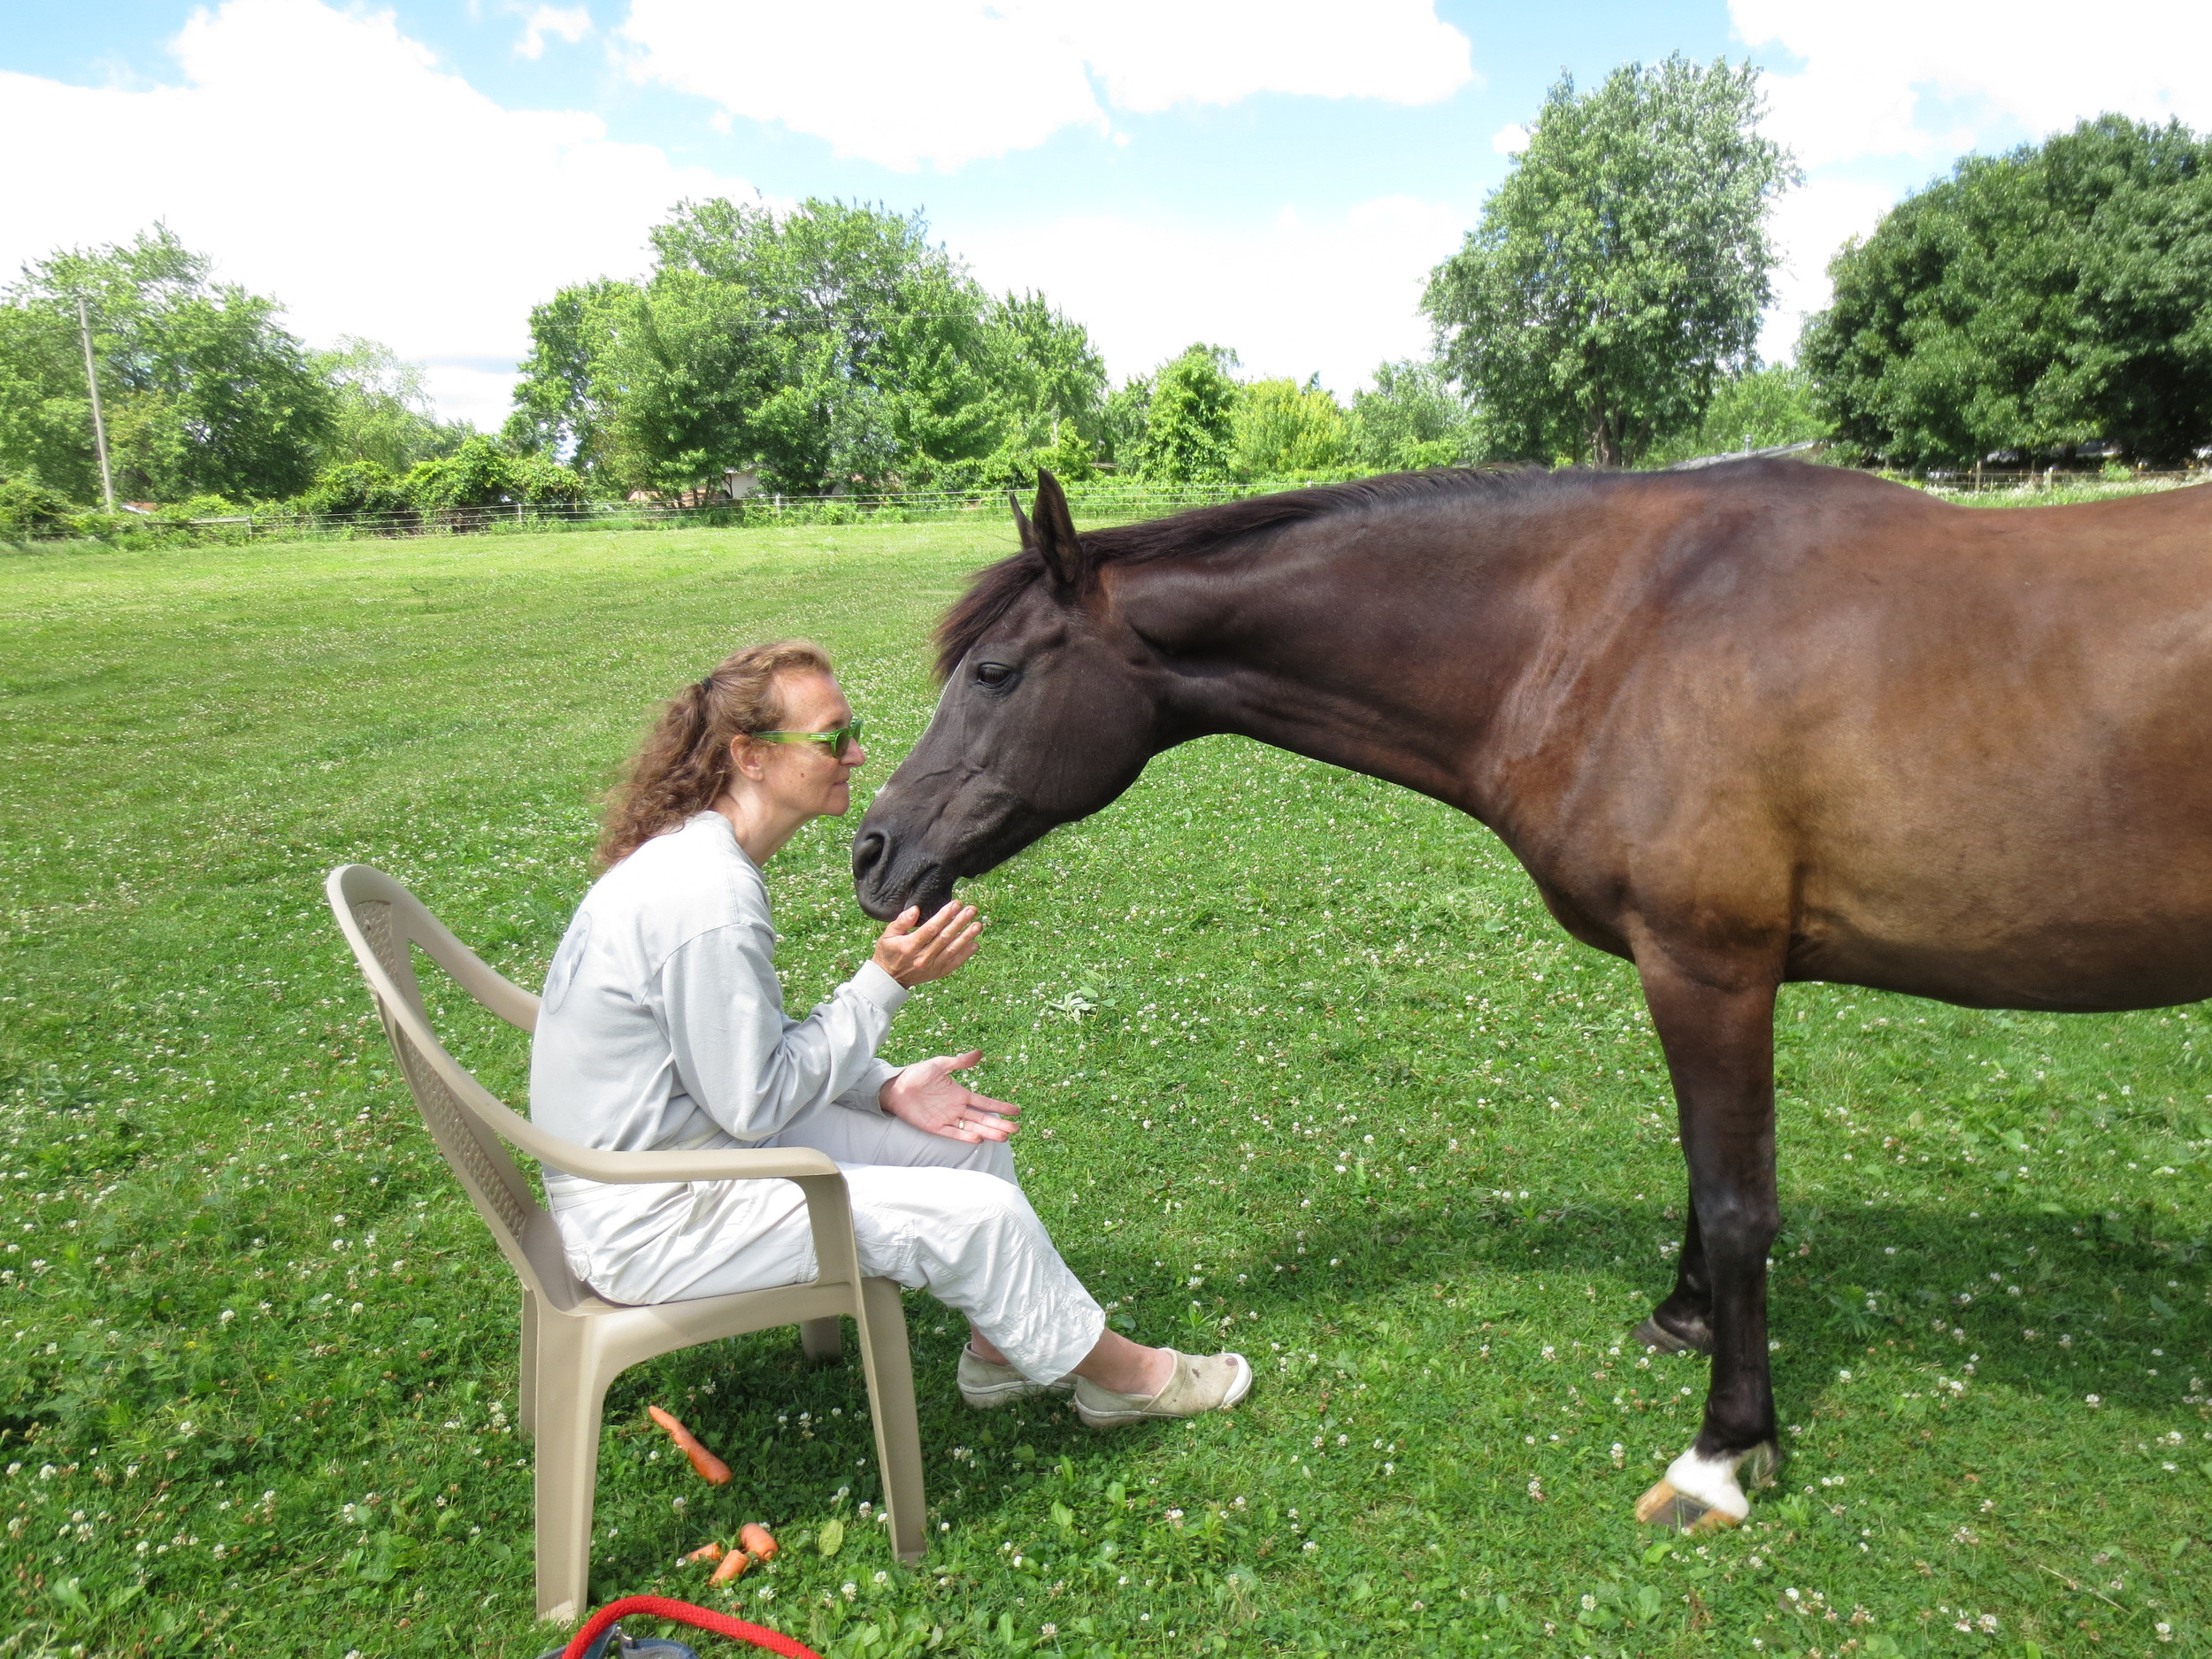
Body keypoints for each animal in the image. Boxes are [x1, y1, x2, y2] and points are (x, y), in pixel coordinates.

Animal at [851, 462, 2212, 1531]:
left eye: (994, 669)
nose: (873, 851)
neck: (1624, 631)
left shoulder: (1709, 966)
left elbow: (1737, 1201)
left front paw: (1722, 1452)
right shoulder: (1707, 976)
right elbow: (1707, 1172)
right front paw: (1684, 1317)